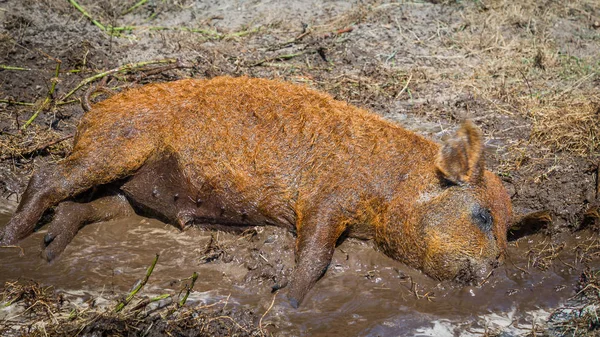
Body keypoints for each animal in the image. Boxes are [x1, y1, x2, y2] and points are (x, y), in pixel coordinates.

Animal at [1, 76, 516, 308]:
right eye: (482, 215)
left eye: (508, 227)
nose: (497, 269)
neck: (391, 187)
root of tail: (91, 110)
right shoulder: (325, 198)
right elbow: (315, 254)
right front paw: (291, 302)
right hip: (112, 148)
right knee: (47, 177)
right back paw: (12, 242)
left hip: (129, 193)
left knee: (81, 205)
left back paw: (49, 252)